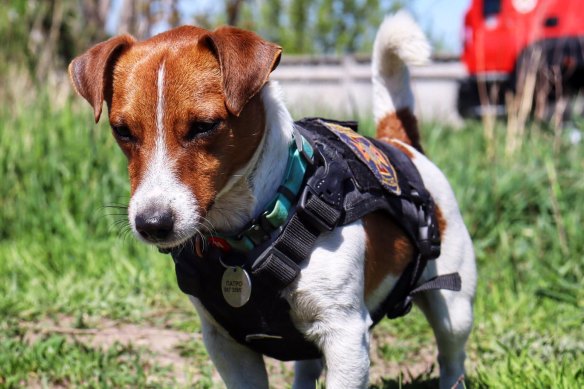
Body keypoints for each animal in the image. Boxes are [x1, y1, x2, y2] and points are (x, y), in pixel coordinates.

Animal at [69, 12, 474, 388]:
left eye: (204, 126)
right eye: (122, 131)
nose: (152, 224)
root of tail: (399, 143)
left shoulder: (345, 338)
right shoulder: (225, 343)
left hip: (454, 307)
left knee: (452, 356)